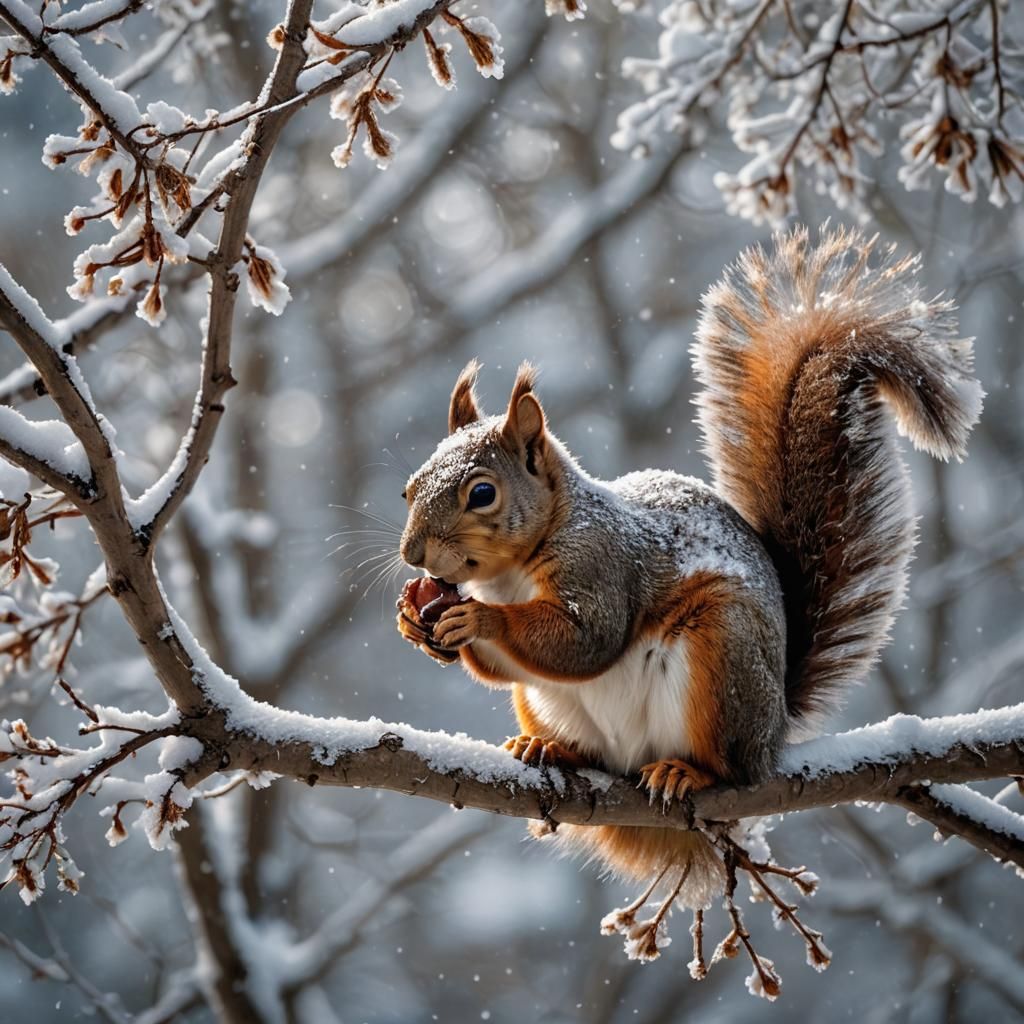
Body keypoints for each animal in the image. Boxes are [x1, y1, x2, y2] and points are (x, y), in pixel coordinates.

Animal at [395, 226, 983, 913]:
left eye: (482, 493)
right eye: (410, 488)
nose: (413, 556)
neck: (511, 571)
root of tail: (774, 729)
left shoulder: (603, 565)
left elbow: (585, 640)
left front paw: (478, 619)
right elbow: (508, 665)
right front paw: (414, 621)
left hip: (721, 655)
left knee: (728, 765)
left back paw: (686, 771)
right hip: (548, 704)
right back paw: (548, 747)